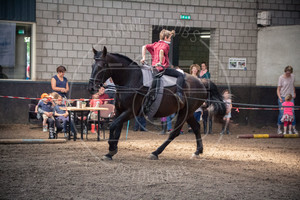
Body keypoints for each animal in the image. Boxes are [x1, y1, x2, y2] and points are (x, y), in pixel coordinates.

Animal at [89, 46, 225, 160]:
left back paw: (156, 152)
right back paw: (198, 151)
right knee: (196, 127)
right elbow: (116, 129)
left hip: (185, 113)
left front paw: (111, 148)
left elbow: (112, 125)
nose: (91, 86)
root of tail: (201, 82)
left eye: (102, 66)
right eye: (92, 65)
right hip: (188, 112)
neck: (131, 79)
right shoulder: (119, 110)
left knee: (175, 133)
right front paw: (110, 152)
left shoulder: (130, 112)